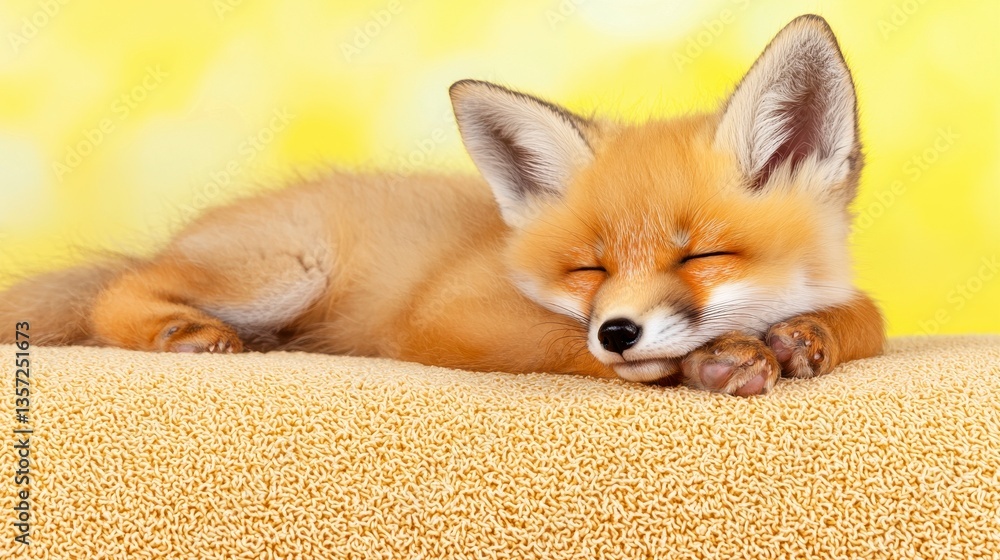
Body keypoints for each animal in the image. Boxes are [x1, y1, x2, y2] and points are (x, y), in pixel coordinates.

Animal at [0, 15, 884, 396]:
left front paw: (803, 337)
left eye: (702, 256)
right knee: (120, 290)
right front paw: (708, 357)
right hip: (286, 271)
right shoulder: (444, 315)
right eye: (588, 269)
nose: (618, 330)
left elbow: (865, 316)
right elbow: (556, 343)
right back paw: (181, 332)